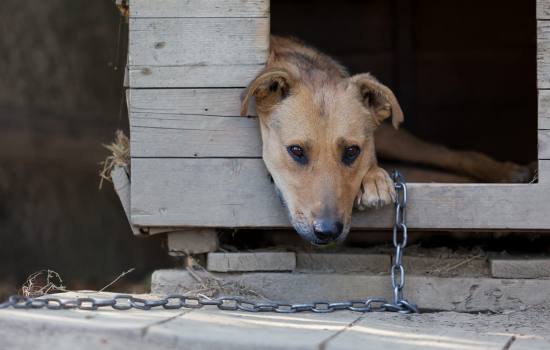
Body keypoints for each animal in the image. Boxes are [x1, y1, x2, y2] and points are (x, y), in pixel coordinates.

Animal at [242, 34, 536, 243]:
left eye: (352, 151)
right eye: (296, 151)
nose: (328, 231)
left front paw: (375, 178)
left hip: (396, 138)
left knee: (451, 156)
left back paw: (511, 174)